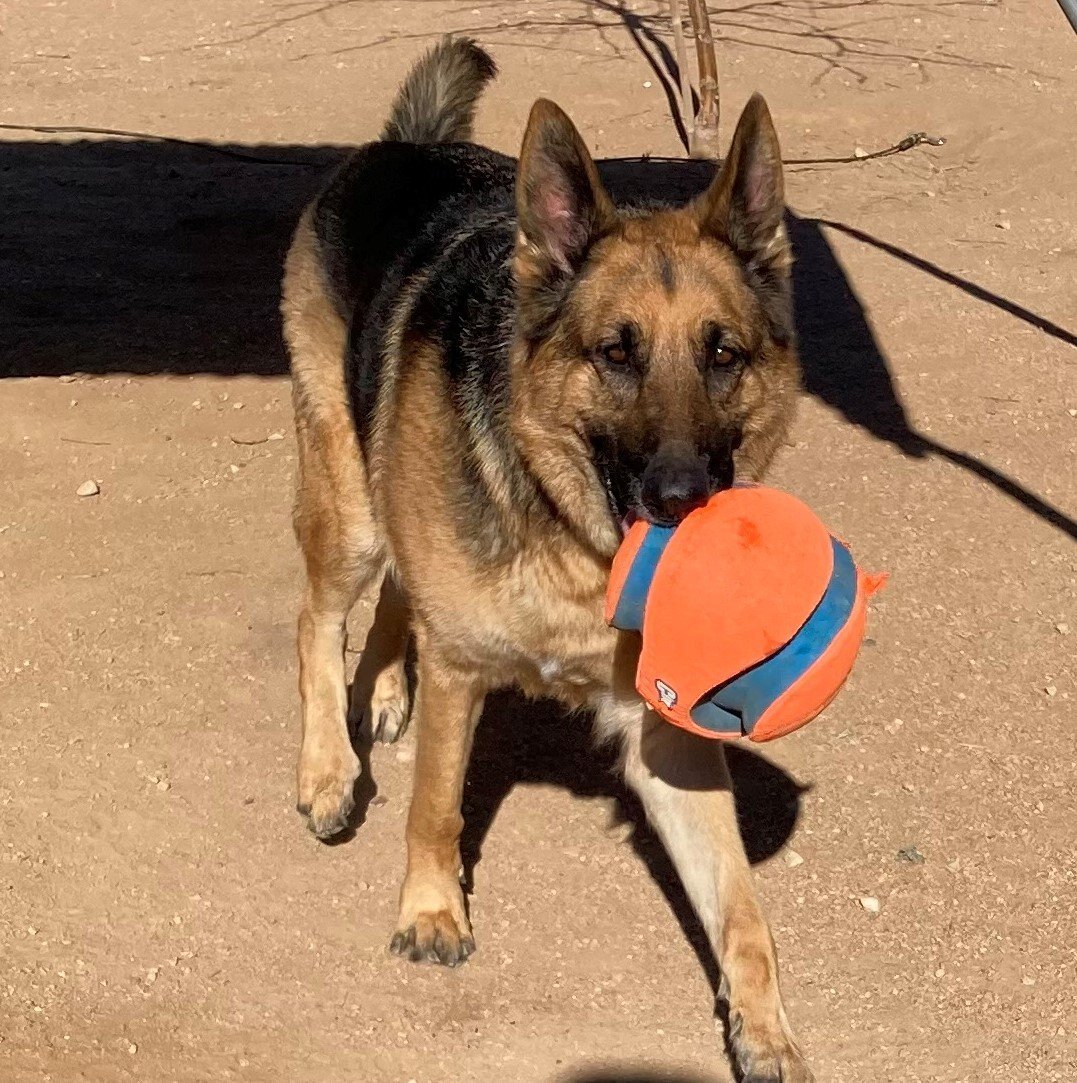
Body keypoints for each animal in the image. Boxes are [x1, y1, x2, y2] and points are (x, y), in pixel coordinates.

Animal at [283, 38, 806, 1078]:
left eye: (723, 354)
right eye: (616, 353)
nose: (681, 497)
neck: (575, 550)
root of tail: (407, 147)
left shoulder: (664, 733)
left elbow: (740, 907)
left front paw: (763, 1026)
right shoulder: (461, 670)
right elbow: (436, 804)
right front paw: (431, 912)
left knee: (397, 591)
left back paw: (384, 687)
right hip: (348, 506)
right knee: (317, 618)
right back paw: (326, 769)